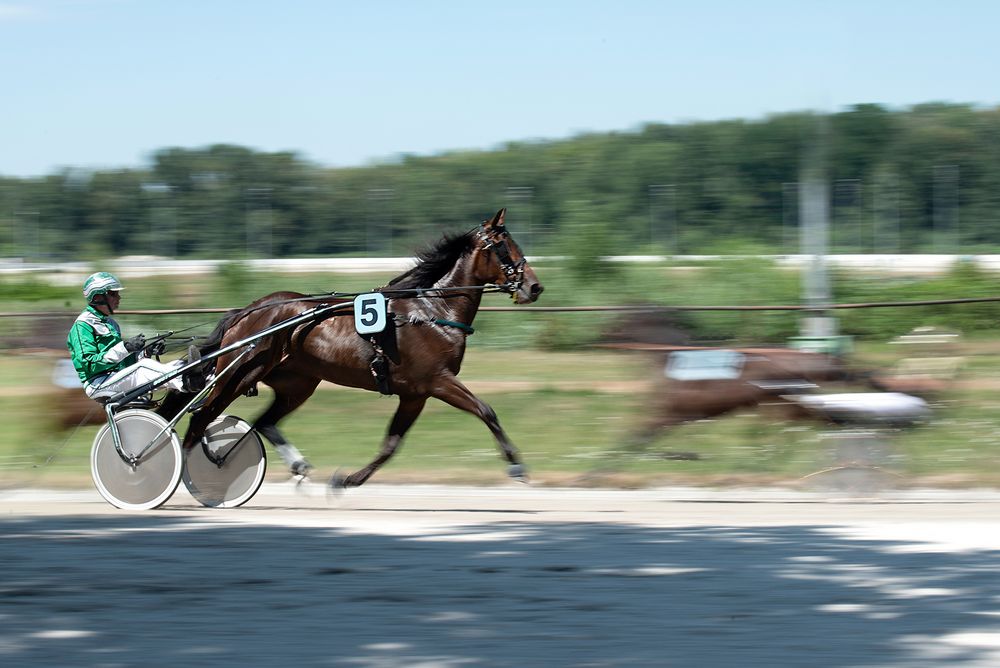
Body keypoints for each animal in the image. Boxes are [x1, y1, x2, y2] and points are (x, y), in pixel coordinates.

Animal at [160, 206, 544, 488]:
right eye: (503, 245)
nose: (535, 287)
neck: (432, 311)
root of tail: (250, 309)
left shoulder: (414, 393)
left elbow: (390, 444)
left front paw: (346, 480)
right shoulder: (438, 381)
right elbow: (487, 411)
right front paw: (517, 467)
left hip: (297, 383)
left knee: (264, 421)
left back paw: (296, 465)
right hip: (239, 373)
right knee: (200, 418)